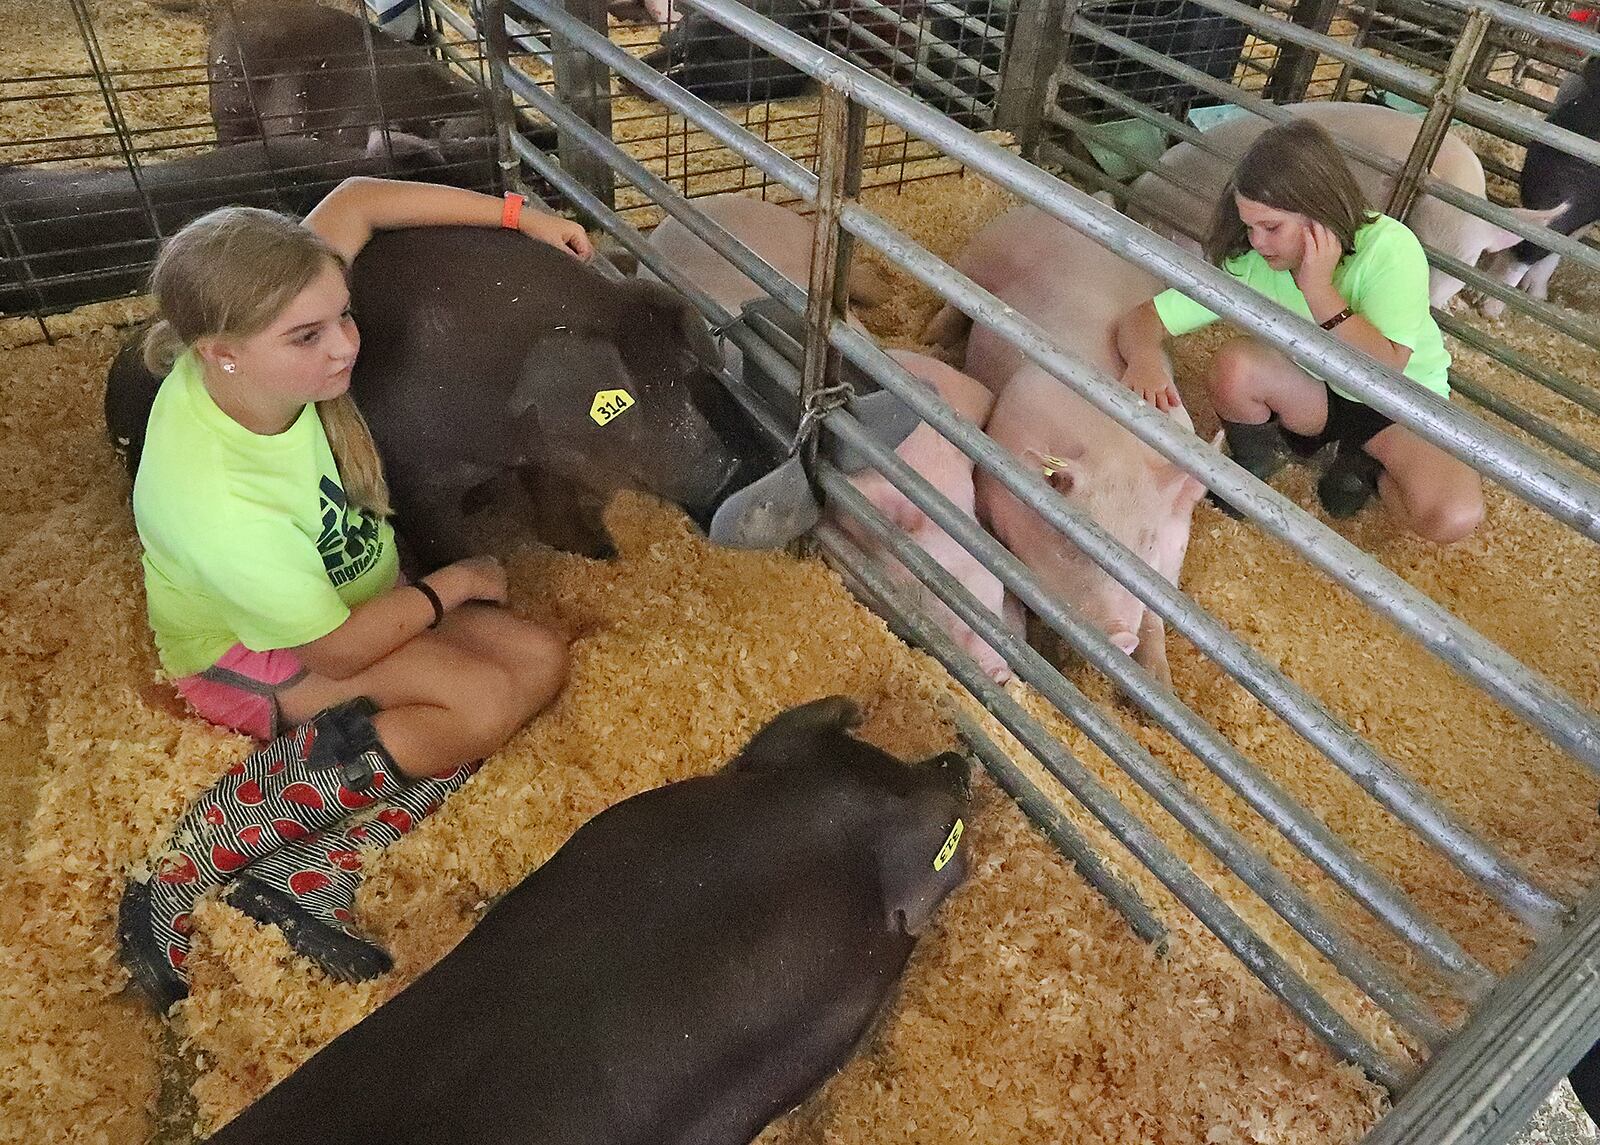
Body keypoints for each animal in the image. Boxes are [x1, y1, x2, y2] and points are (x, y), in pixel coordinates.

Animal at [928, 203, 1209, 687]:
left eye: (1148, 545)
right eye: (1073, 545)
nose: (1120, 636)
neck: (1113, 449)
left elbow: (1156, 619)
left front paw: (1160, 685)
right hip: (983, 250)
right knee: (955, 294)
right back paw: (932, 337)